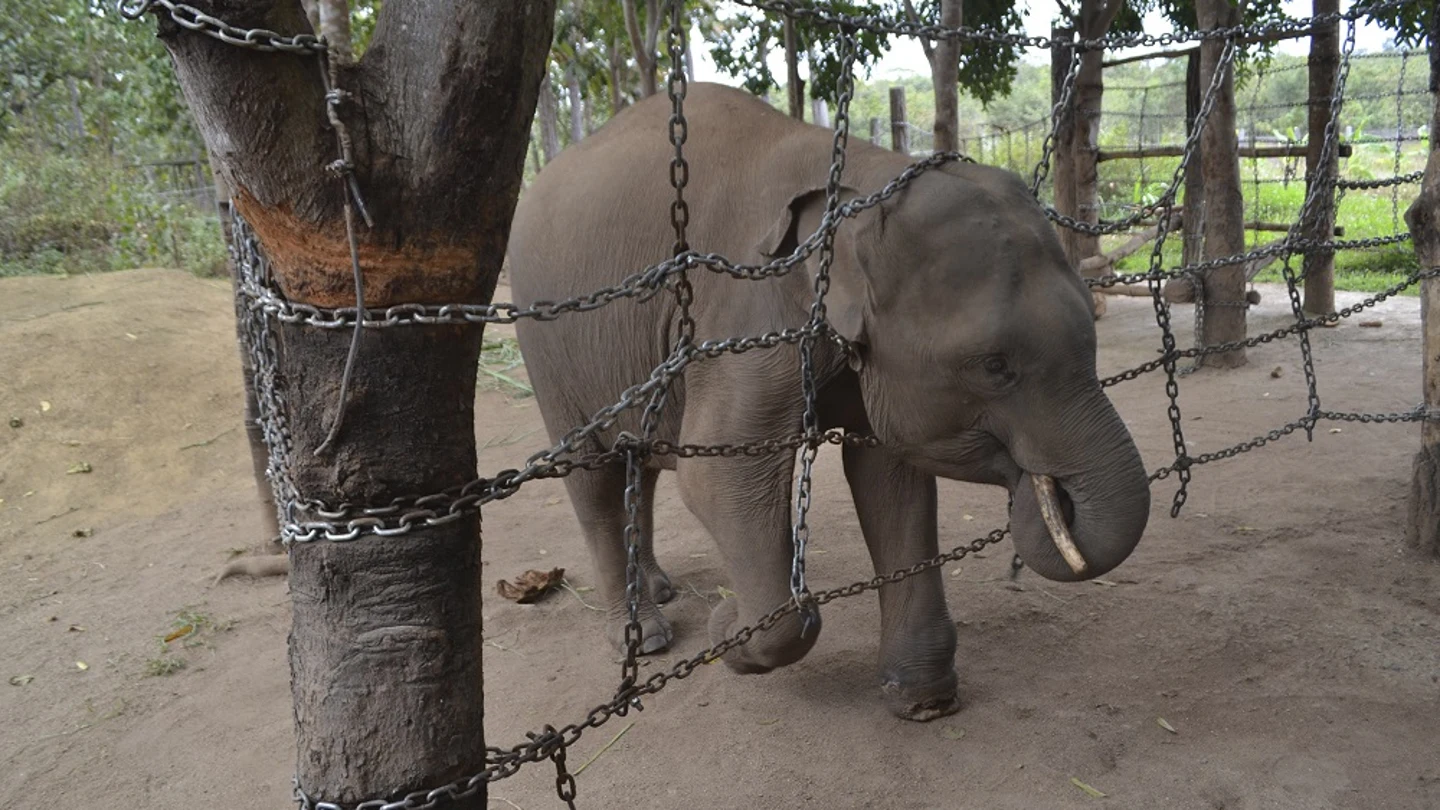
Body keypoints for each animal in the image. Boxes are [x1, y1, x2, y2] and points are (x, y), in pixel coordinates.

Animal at [507, 83, 1150, 721]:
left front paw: (922, 702)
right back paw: (643, 636)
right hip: (547, 344)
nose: (1051, 495)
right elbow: (717, 477)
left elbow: (889, 475)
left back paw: (658, 589)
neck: (867, 178)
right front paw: (726, 630)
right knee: (594, 474)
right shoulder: (747, 319)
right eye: (995, 366)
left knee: (638, 463)